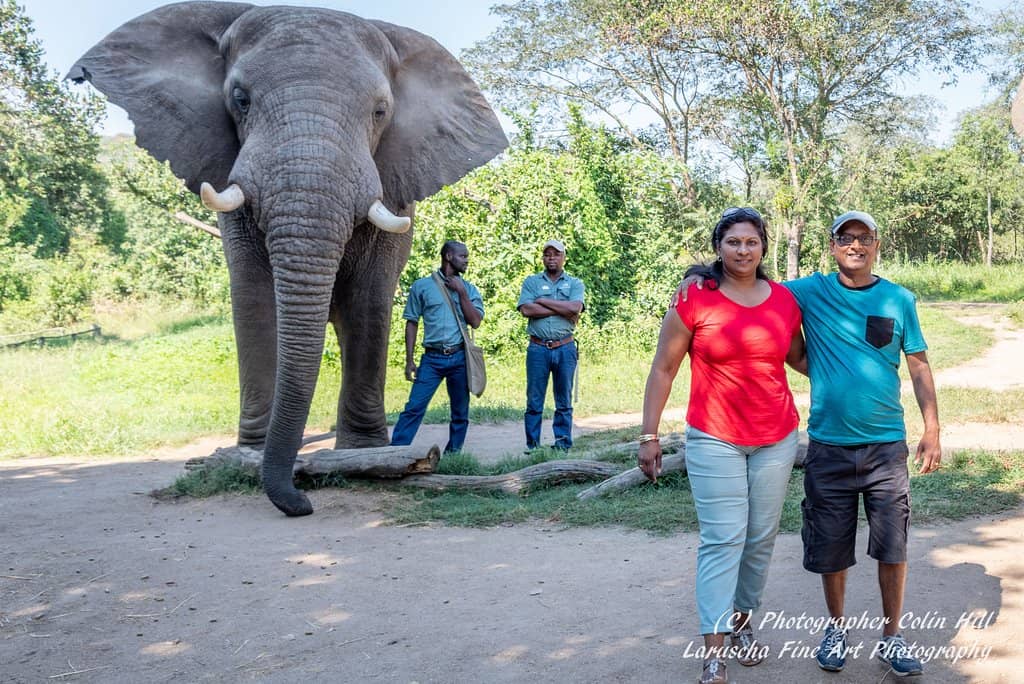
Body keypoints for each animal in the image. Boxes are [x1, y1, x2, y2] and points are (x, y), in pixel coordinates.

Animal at [68, 2, 507, 516]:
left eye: (380, 112)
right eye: (240, 100)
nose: (303, 503)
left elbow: (369, 301)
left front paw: (363, 456)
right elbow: (254, 298)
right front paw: (250, 456)